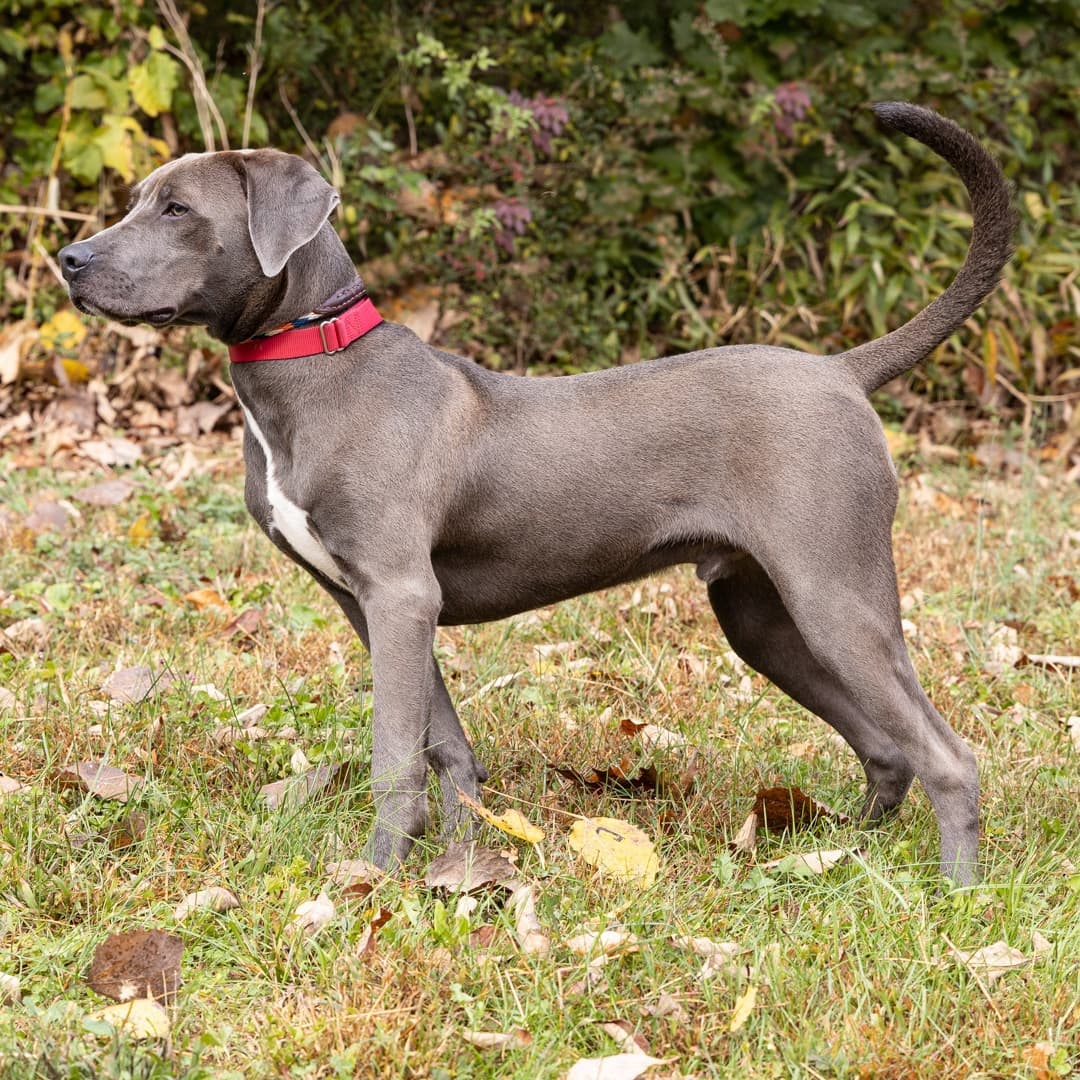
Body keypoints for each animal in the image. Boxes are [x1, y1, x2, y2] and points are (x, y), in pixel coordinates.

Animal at [59, 101, 1015, 881]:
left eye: (179, 210)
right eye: (139, 199)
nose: (68, 258)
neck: (315, 361)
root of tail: (841, 371)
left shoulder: (400, 594)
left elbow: (394, 755)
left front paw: (375, 876)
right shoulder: (375, 606)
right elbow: (445, 746)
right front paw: (454, 862)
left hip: (834, 594)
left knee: (948, 755)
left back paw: (956, 897)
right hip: (762, 616)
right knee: (887, 747)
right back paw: (840, 852)